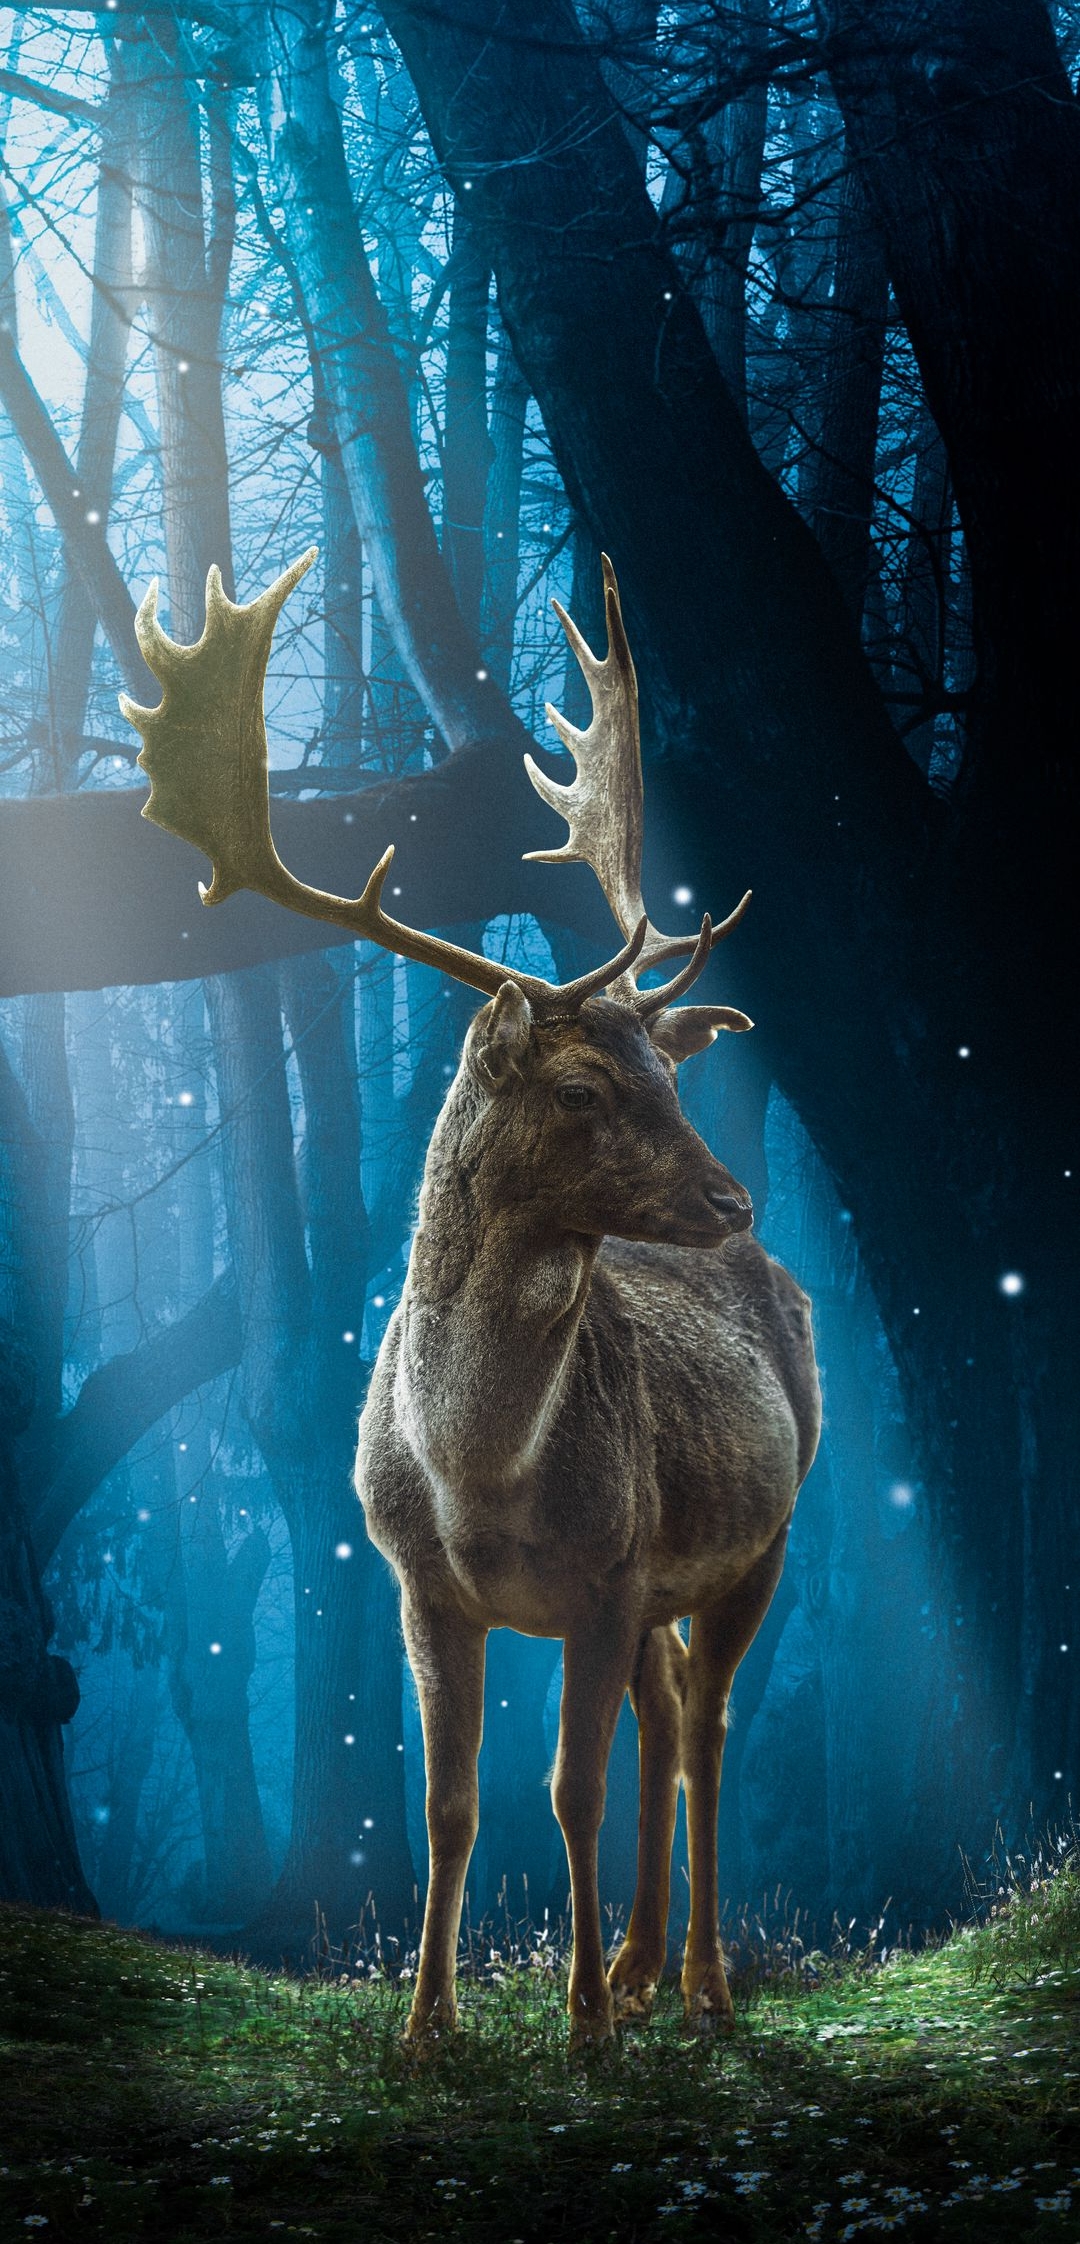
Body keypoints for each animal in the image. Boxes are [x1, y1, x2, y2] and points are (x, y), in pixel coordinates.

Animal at [123, 547, 821, 2052]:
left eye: (668, 1074)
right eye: (582, 1087)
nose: (735, 1202)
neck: (477, 1478)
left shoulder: (611, 1569)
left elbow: (572, 1788)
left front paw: (582, 2026)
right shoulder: (419, 1583)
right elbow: (446, 1806)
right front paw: (430, 2026)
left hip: (767, 1534)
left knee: (709, 1731)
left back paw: (700, 1986)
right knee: (672, 1716)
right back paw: (647, 1967)